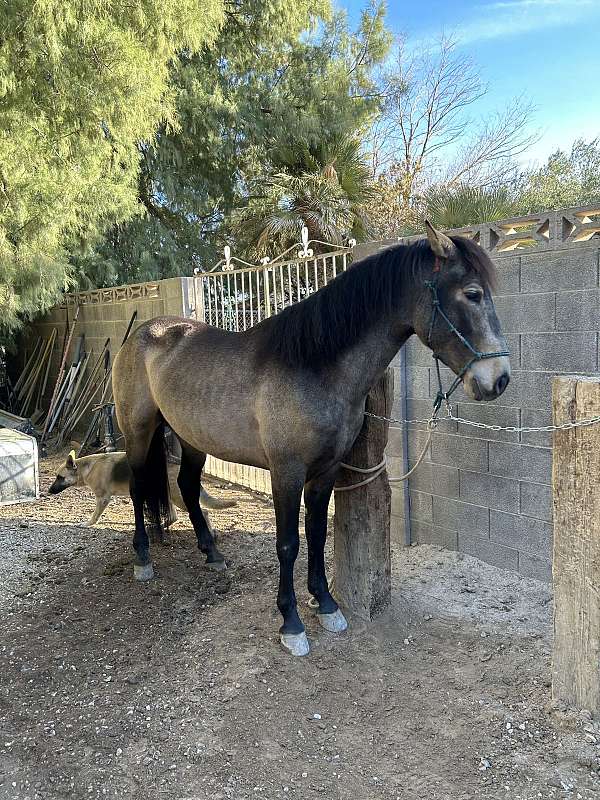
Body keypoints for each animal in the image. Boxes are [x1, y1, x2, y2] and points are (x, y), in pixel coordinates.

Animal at [48, 454, 236, 528]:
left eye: (59, 477)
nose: (49, 491)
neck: (85, 468)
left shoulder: (102, 499)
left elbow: (94, 516)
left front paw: (87, 524)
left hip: (178, 498)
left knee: (204, 512)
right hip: (168, 495)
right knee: (174, 517)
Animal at [113, 223, 510, 656]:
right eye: (472, 294)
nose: (499, 379)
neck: (314, 366)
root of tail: (141, 332)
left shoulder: (327, 469)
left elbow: (318, 533)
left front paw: (327, 604)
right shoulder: (286, 472)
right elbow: (289, 543)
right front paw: (291, 623)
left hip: (192, 438)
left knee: (186, 484)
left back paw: (212, 552)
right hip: (137, 431)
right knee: (137, 486)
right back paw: (143, 559)